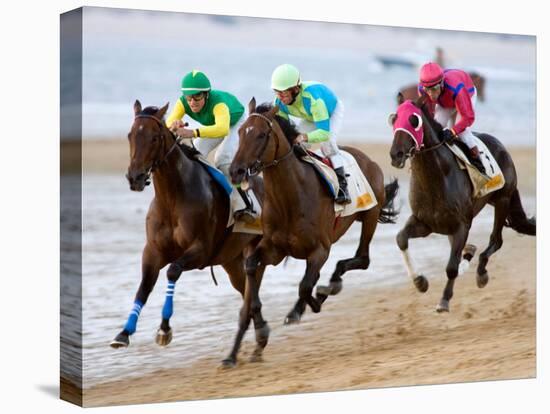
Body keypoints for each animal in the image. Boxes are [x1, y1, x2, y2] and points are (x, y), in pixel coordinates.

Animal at [225, 98, 402, 368]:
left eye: (262, 134)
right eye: (242, 131)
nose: (236, 171)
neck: (291, 198)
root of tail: (368, 159)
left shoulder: (320, 250)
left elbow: (305, 286)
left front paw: (311, 303)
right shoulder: (274, 249)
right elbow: (253, 266)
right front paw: (263, 327)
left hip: (370, 216)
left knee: (362, 258)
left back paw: (328, 288)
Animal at [390, 95, 536, 312]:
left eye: (414, 120)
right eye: (393, 119)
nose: (396, 154)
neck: (436, 177)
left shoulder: (462, 225)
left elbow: (451, 267)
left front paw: (444, 300)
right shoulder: (424, 223)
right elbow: (401, 239)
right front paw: (420, 281)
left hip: (502, 199)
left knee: (496, 240)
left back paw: (481, 272)